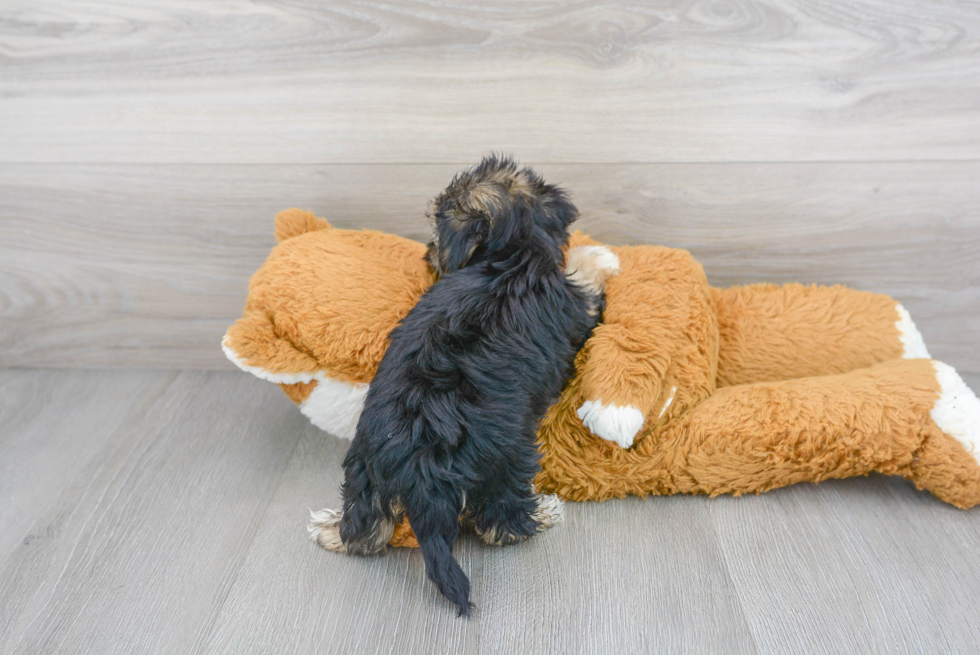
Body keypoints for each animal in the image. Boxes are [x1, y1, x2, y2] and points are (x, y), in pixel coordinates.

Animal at [314, 156, 616, 616]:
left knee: (365, 528)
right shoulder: (575, 305)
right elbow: (585, 277)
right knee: (500, 523)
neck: (514, 252)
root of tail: (417, 452)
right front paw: (600, 257)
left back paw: (332, 529)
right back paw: (543, 513)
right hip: (506, 458)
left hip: (367, 464)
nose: (427, 255)